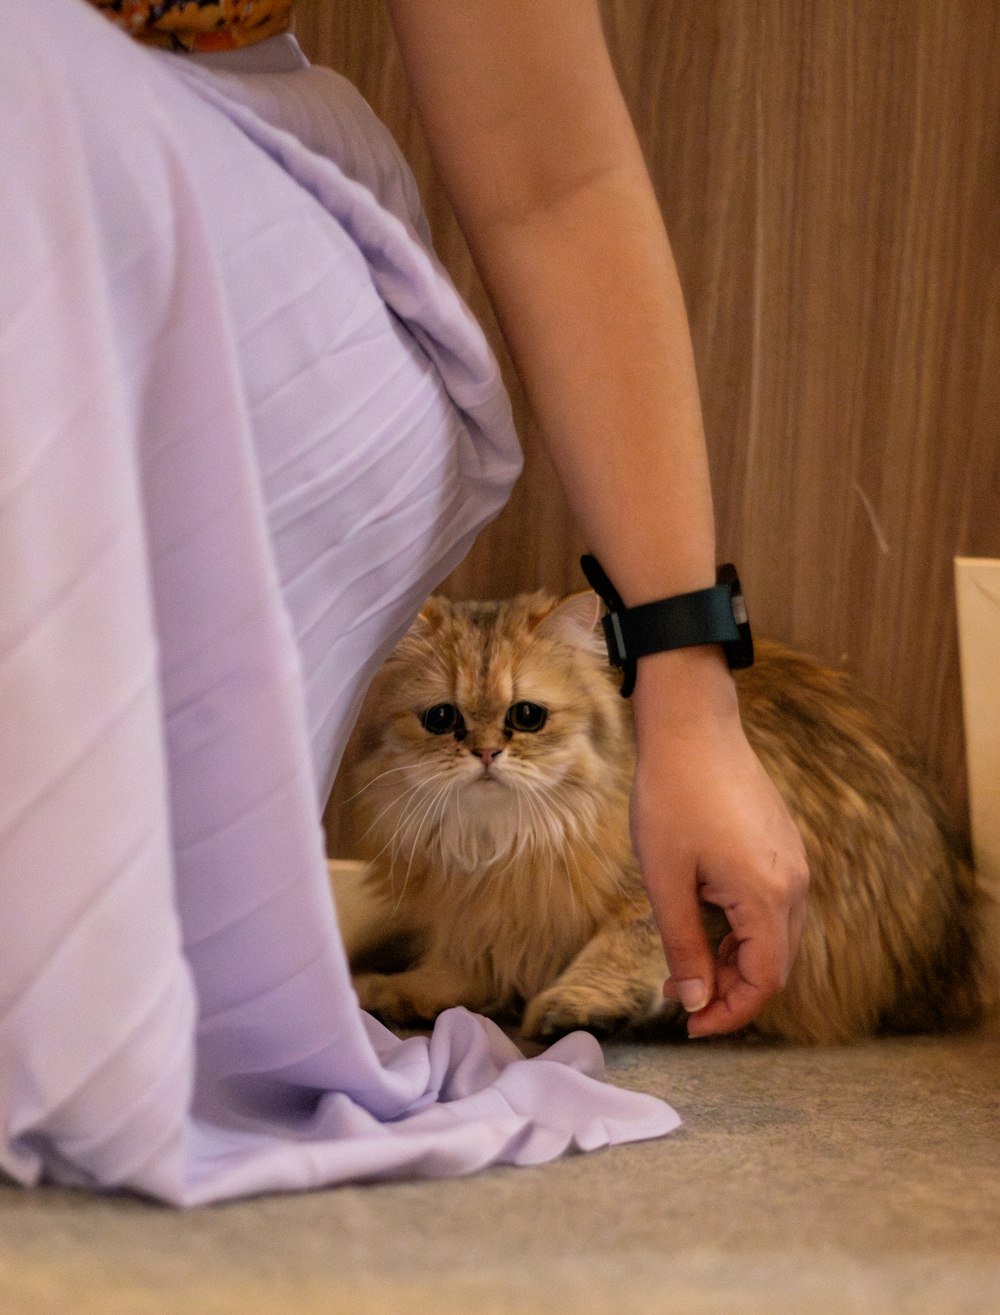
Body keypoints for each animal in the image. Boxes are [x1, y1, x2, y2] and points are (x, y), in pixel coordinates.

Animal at [344, 591, 984, 1041]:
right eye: (441, 719)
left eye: (526, 716)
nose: (483, 753)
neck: (497, 844)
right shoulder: (483, 916)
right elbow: (460, 965)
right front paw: (394, 991)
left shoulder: (676, 883)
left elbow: (622, 949)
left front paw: (576, 1007)